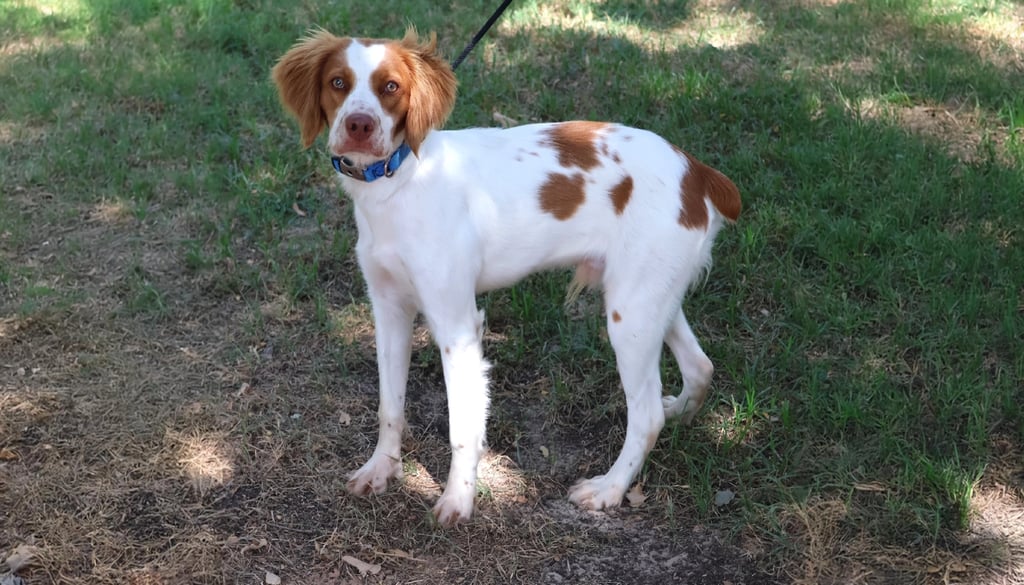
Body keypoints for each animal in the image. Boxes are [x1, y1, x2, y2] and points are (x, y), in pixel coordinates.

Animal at [272, 29, 737, 528]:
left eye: (391, 87)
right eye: (338, 82)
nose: (359, 124)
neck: (399, 181)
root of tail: (696, 171)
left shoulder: (457, 326)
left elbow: (462, 426)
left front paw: (458, 500)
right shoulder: (389, 310)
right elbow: (389, 405)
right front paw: (382, 469)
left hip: (630, 315)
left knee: (647, 414)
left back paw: (609, 489)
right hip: (647, 297)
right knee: (700, 365)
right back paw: (682, 413)